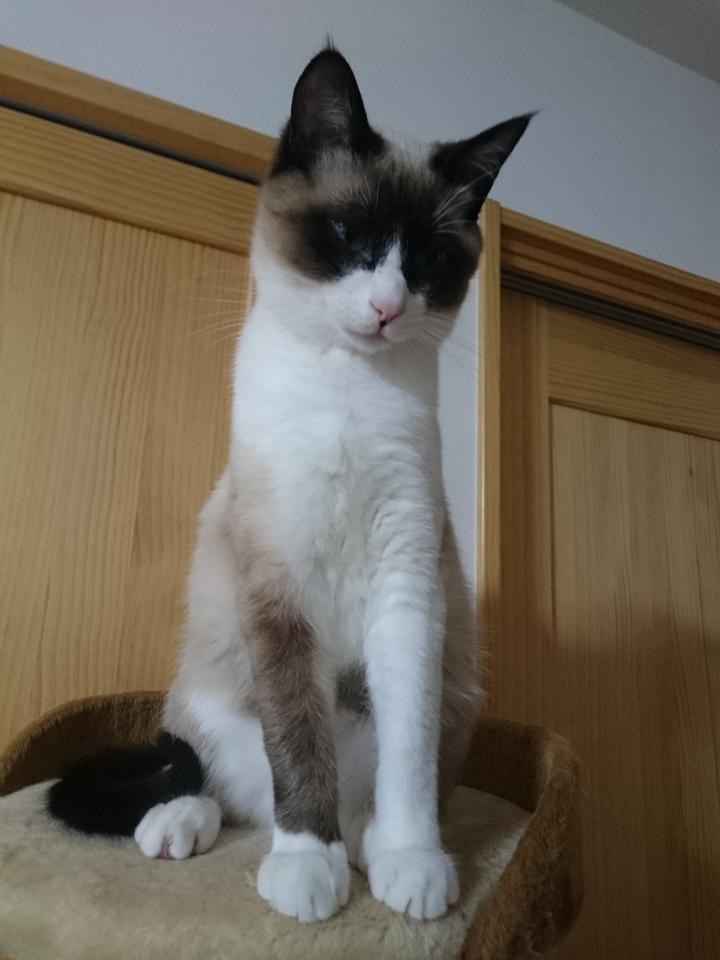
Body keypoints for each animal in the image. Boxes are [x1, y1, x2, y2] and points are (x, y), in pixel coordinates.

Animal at [48, 46, 531, 923]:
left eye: (426, 261)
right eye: (346, 236)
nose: (386, 307)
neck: (347, 386)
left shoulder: (407, 591)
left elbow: (408, 762)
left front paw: (411, 865)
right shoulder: (276, 593)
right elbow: (296, 748)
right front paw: (309, 868)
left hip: (453, 690)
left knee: (368, 786)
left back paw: (372, 841)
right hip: (208, 679)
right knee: (219, 780)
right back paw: (181, 826)